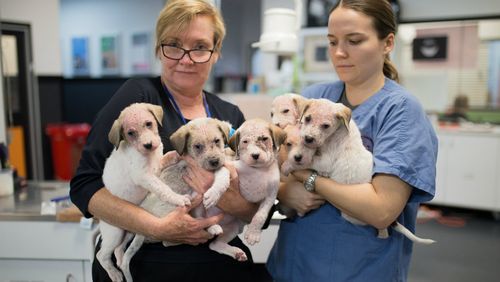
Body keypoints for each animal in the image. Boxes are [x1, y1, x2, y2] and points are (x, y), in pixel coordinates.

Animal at [97, 102, 191, 280]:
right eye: (130, 133)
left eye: (148, 123)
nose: (148, 145)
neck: (147, 154)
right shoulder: (143, 176)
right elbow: (162, 188)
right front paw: (178, 198)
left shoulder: (156, 165)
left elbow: (164, 158)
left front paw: (176, 155)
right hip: (115, 233)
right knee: (102, 255)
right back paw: (115, 274)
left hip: (128, 232)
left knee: (118, 250)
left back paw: (121, 262)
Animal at [206, 118, 286, 262]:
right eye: (245, 142)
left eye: (264, 138)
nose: (255, 155)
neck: (258, 170)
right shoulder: (228, 166)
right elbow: (222, 177)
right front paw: (214, 195)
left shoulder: (270, 197)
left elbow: (260, 216)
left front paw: (253, 233)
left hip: (234, 228)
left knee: (214, 245)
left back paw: (235, 252)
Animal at [296, 99, 434, 245]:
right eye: (307, 118)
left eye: (326, 126)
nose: (308, 138)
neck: (339, 130)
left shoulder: (326, 160)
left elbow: (310, 161)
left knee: (382, 230)